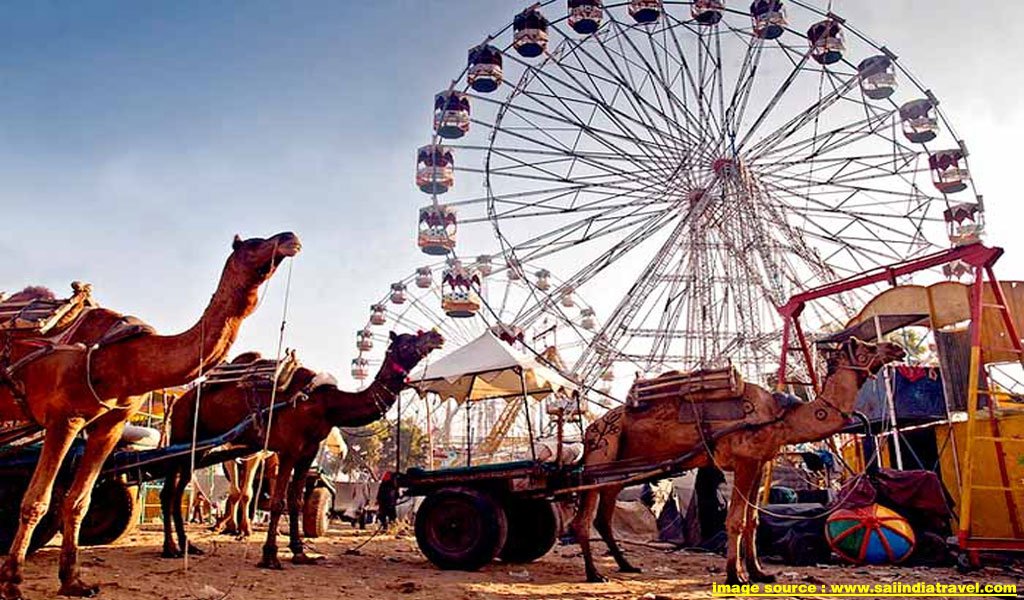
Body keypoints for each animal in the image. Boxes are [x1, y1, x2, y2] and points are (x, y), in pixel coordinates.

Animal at [0, 230, 299, 597]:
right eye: (255, 243)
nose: (290, 237)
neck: (125, 360)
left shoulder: (110, 426)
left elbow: (78, 502)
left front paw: (73, 580)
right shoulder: (63, 418)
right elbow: (35, 502)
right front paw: (12, 582)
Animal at [160, 327, 444, 565]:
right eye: (406, 341)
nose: (436, 336)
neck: (326, 404)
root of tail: (178, 402)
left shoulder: (308, 452)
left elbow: (295, 501)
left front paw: (299, 552)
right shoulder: (289, 448)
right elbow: (278, 502)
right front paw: (270, 556)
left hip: (199, 448)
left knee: (177, 491)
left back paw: (187, 546)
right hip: (183, 436)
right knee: (169, 491)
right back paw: (170, 548)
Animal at [573, 337, 909, 581]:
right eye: (865, 347)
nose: (897, 347)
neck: (780, 417)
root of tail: (591, 428)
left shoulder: (759, 462)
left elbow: (753, 520)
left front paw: (760, 573)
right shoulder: (744, 460)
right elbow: (734, 519)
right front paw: (736, 576)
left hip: (618, 471)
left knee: (602, 518)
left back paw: (626, 565)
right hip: (600, 456)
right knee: (583, 519)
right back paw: (594, 574)